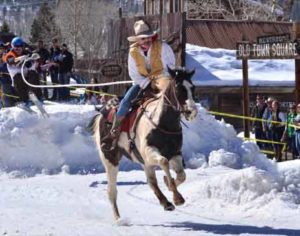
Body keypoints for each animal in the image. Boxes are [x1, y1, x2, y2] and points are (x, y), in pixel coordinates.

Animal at [89, 67, 197, 221]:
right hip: (110, 159)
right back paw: (118, 219)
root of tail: (101, 115)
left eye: (192, 88)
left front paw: (169, 185)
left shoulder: (175, 154)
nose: (192, 111)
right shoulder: (149, 152)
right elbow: (164, 162)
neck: (162, 122)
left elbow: (181, 175)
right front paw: (177, 197)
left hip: (144, 163)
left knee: (151, 181)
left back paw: (166, 203)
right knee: (112, 191)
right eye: (178, 88)